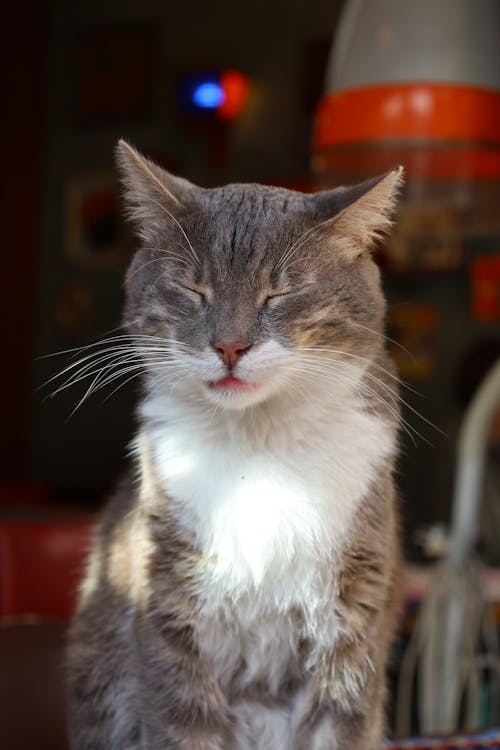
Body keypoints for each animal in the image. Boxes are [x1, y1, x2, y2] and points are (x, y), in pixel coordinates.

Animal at [66, 138, 404, 748]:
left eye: (280, 292)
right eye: (193, 289)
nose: (229, 346)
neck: (259, 445)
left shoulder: (351, 617)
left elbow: (338, 724)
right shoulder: (167, 605)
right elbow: (182, 721)